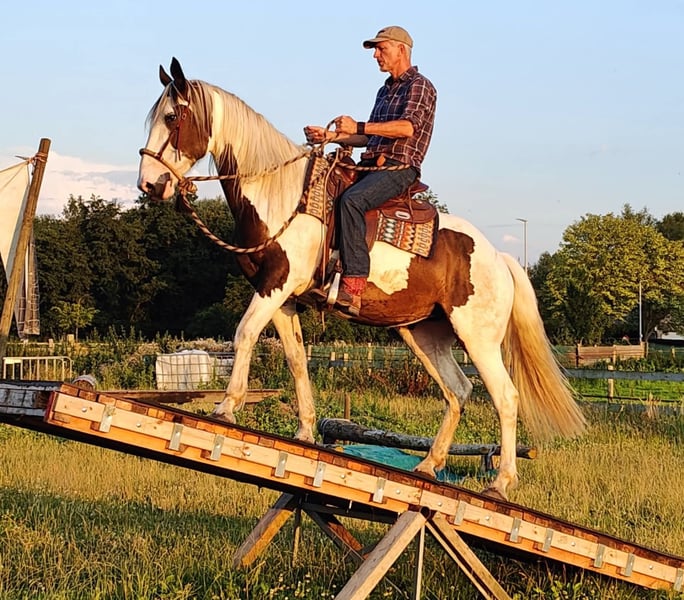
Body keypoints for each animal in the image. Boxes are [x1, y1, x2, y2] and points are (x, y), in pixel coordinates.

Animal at [138, 58, 586, 500]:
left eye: (172, 116)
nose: (149, 184)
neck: (283, 196)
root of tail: (501, 258)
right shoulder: (284, 298)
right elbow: (296, 358)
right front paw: (304, 430)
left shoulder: (274, 285)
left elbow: (244, 333)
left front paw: (227, 406)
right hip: (423, 333)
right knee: (458, 390)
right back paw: (429, 465)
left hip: (477, 336)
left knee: (505, 396)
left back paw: (500, 482)